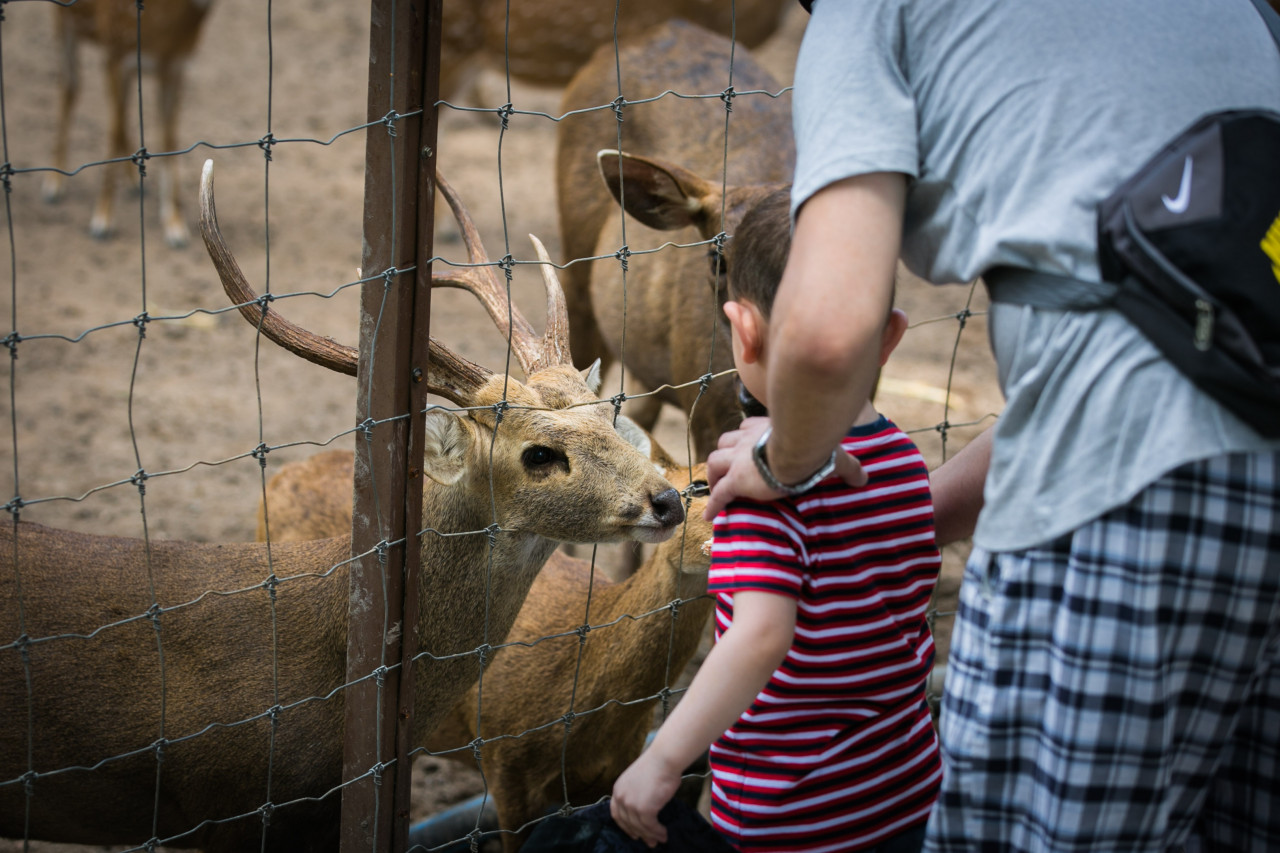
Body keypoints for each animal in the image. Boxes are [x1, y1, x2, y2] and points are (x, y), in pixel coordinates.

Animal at [41, 0, 213, 245]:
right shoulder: (116, 52)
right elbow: (114, 131)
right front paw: (102, 219)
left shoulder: (175, 65)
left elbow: (169, 138)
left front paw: (174, 224)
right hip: (65, 22)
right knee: (71, 86)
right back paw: (53, 183)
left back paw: (133, 177)